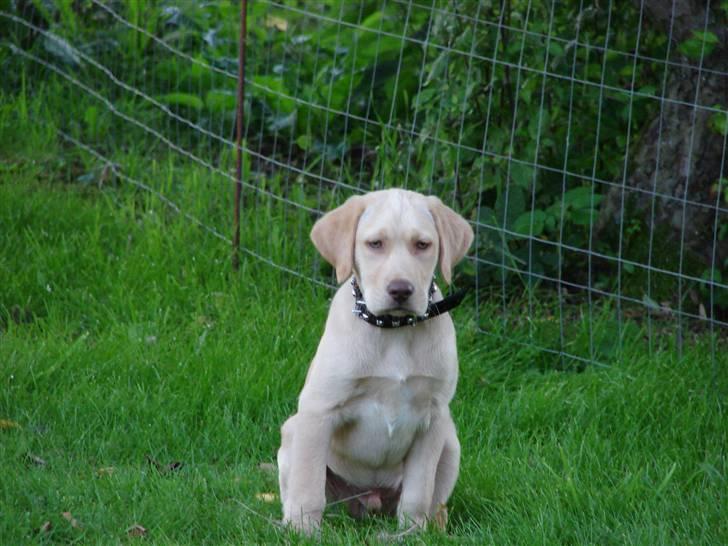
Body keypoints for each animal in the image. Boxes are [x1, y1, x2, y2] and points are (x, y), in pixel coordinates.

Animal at [278, 187, 472, 532]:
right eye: (375, 244)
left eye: (422, 245)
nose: (401, 290)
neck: (393, 329)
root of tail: (370, 501)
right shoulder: (319, 410)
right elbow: (308, 483)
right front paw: (303, 530)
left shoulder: (433, 418)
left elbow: (418, 491)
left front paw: (412, 533)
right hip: (292, 430)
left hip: (450, 443)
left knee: (436, 502)